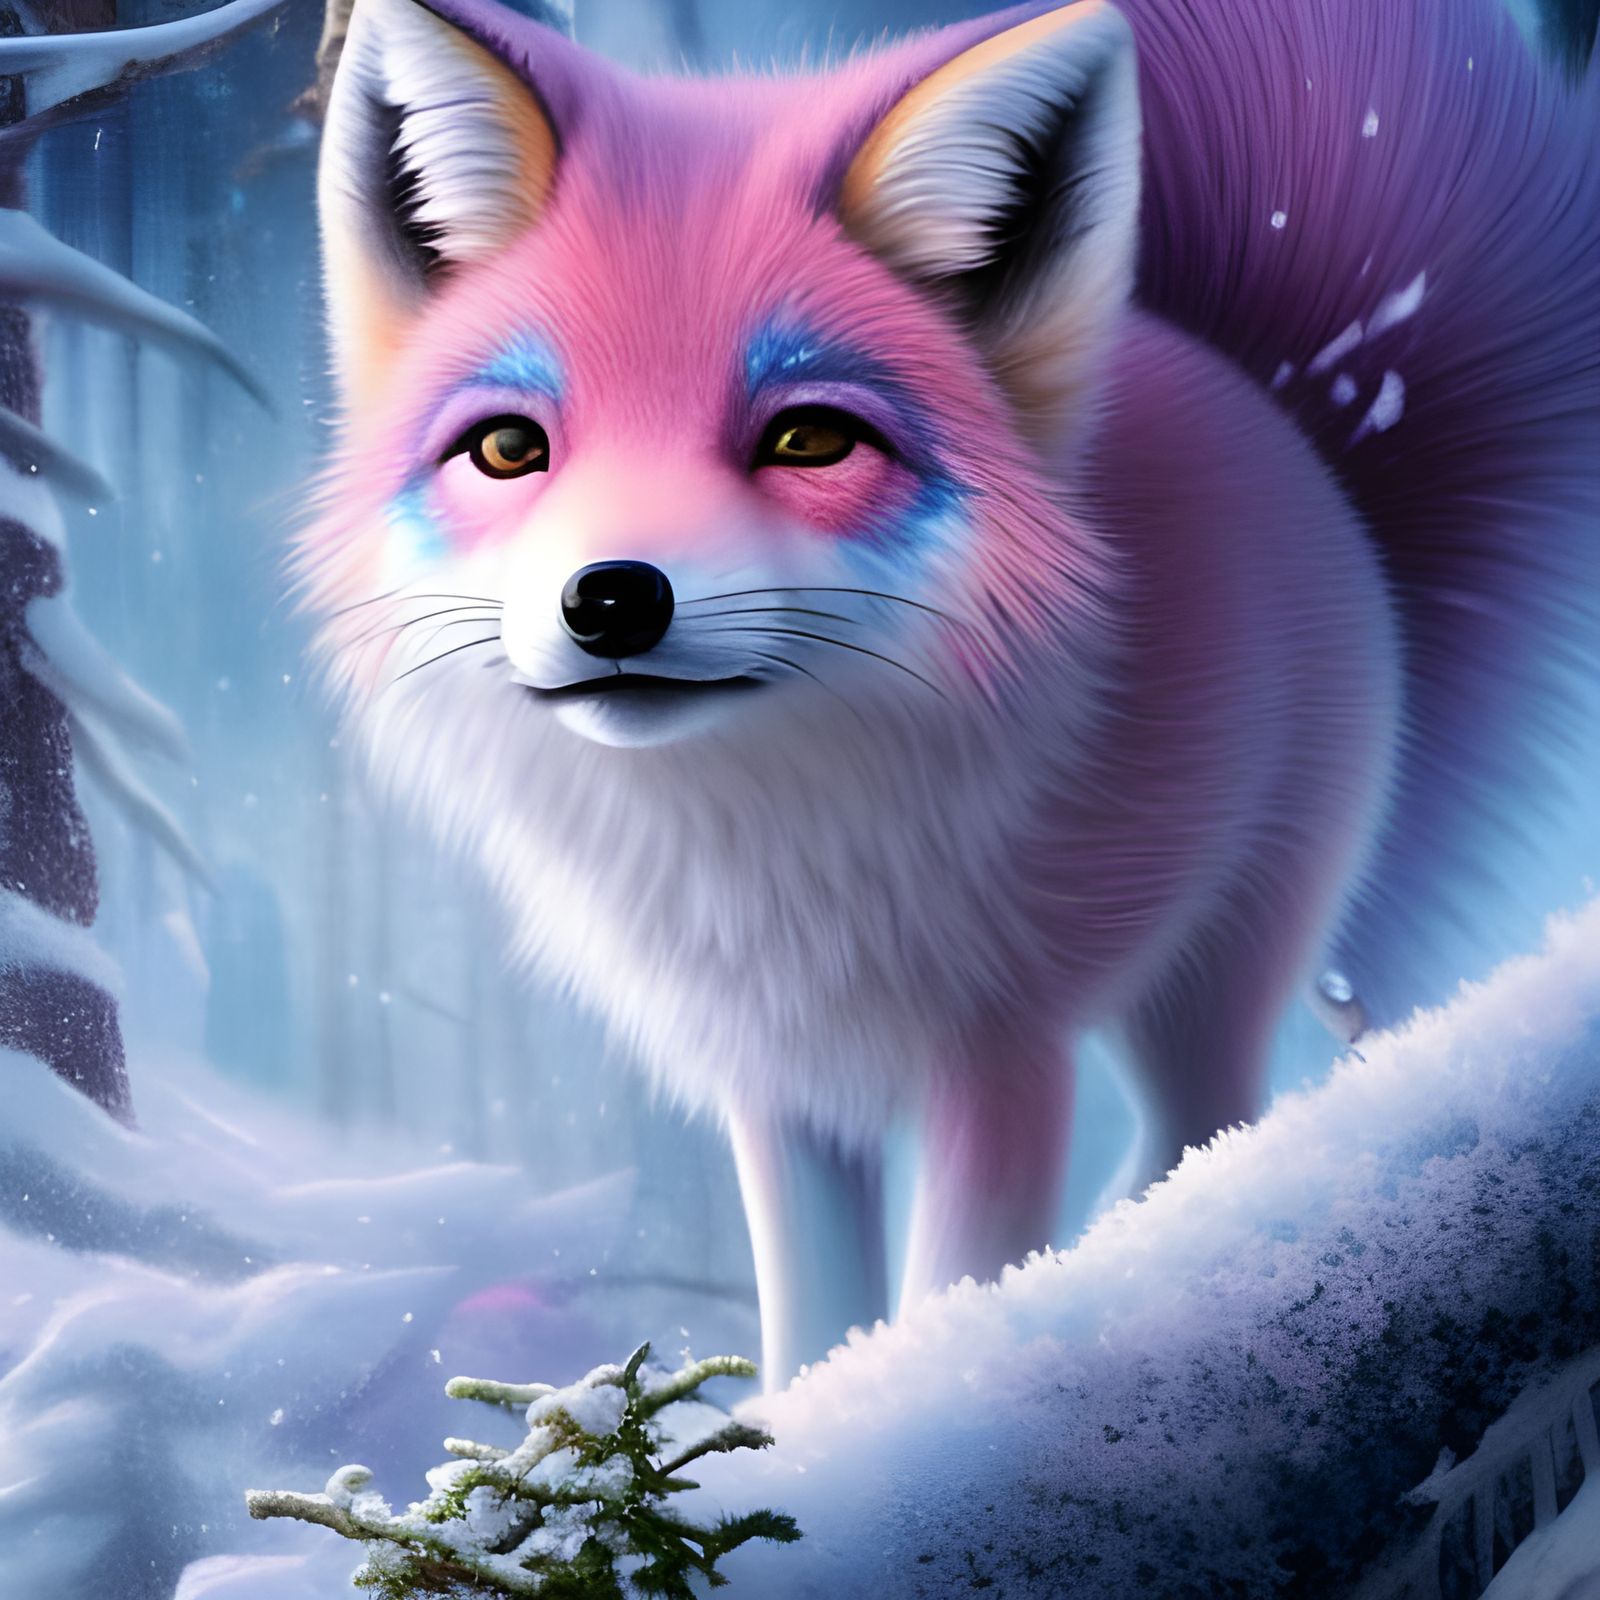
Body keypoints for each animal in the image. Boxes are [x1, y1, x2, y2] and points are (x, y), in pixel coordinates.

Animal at [303, 0, 1599, 1387]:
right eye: (509, 448)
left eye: (809, 438)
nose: (611, 599)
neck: (773, 846)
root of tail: (1260, 407)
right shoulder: (776, 1081)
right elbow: (815, 1315)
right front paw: (806, 1429)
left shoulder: (1003, 1057)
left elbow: (955, 1278)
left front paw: (940, 1390)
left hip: (1216, 957)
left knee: (1210, 1122)